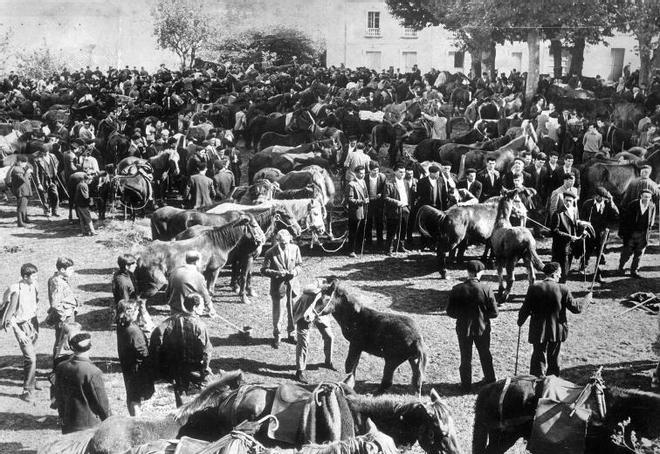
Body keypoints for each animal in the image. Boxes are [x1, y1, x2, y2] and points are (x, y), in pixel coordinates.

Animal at [134, 215, 266, 300]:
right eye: (254, 225)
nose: (261, 240)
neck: (217, 243)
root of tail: (140, 258)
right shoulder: (214, 270)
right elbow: (211, 290)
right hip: (155, 284)